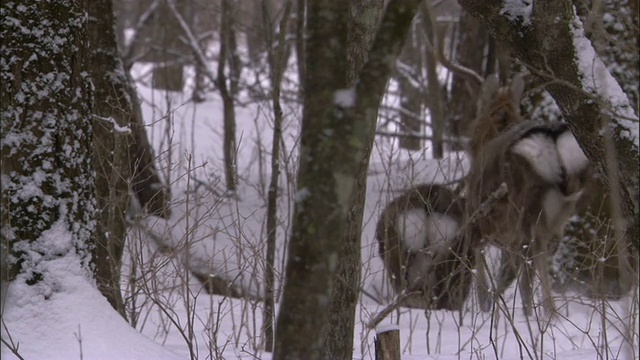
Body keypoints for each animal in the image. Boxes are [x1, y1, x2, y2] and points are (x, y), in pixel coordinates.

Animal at [462, 74, 592, 316]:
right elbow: (509, 280)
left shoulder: (476, 218)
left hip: (525, 211)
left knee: (535, 265)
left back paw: (549, 315)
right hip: (557, 214)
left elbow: (482, 270)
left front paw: (485, 307)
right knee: (536, 265)